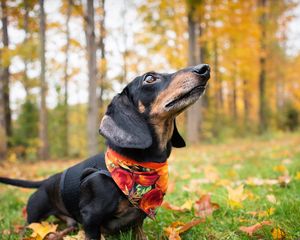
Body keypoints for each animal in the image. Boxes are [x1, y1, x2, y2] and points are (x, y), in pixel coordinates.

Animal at [0, 64, 210, 240]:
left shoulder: (139, 219)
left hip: (70, 222)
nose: (204, 68)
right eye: (149, 78)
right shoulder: (90, 218)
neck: (138, 166)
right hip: (34, 218)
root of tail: (45, 181)